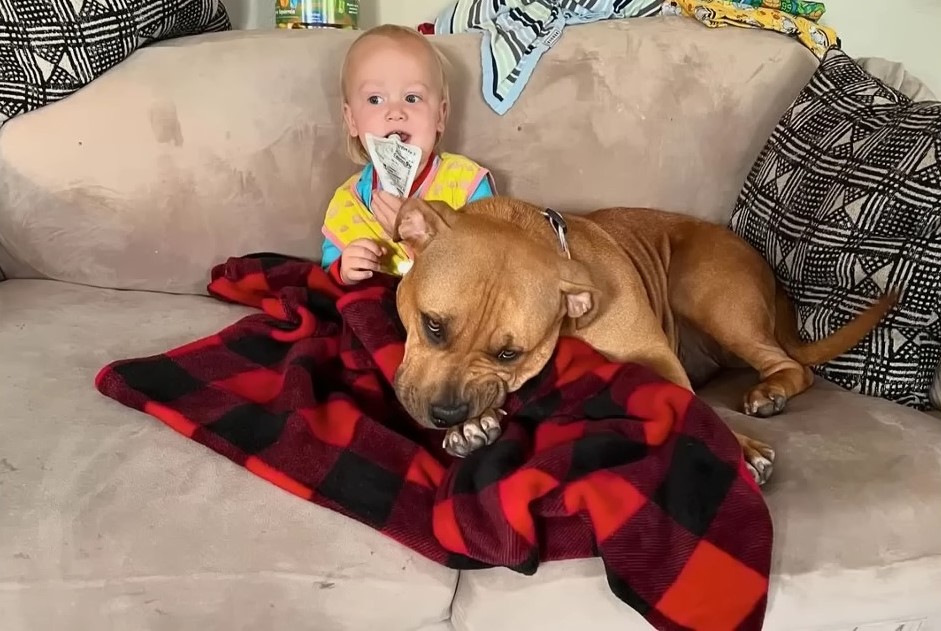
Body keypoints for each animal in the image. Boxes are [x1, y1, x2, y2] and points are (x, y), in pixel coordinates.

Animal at [390, 196, 896, 484]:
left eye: (509, 353)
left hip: (705, 290)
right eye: (433, 325)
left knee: (792, 365)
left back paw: (770, 392)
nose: (447, 414)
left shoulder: (654, 356)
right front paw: (474, 427)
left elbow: (691, 405)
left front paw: (742, 449)